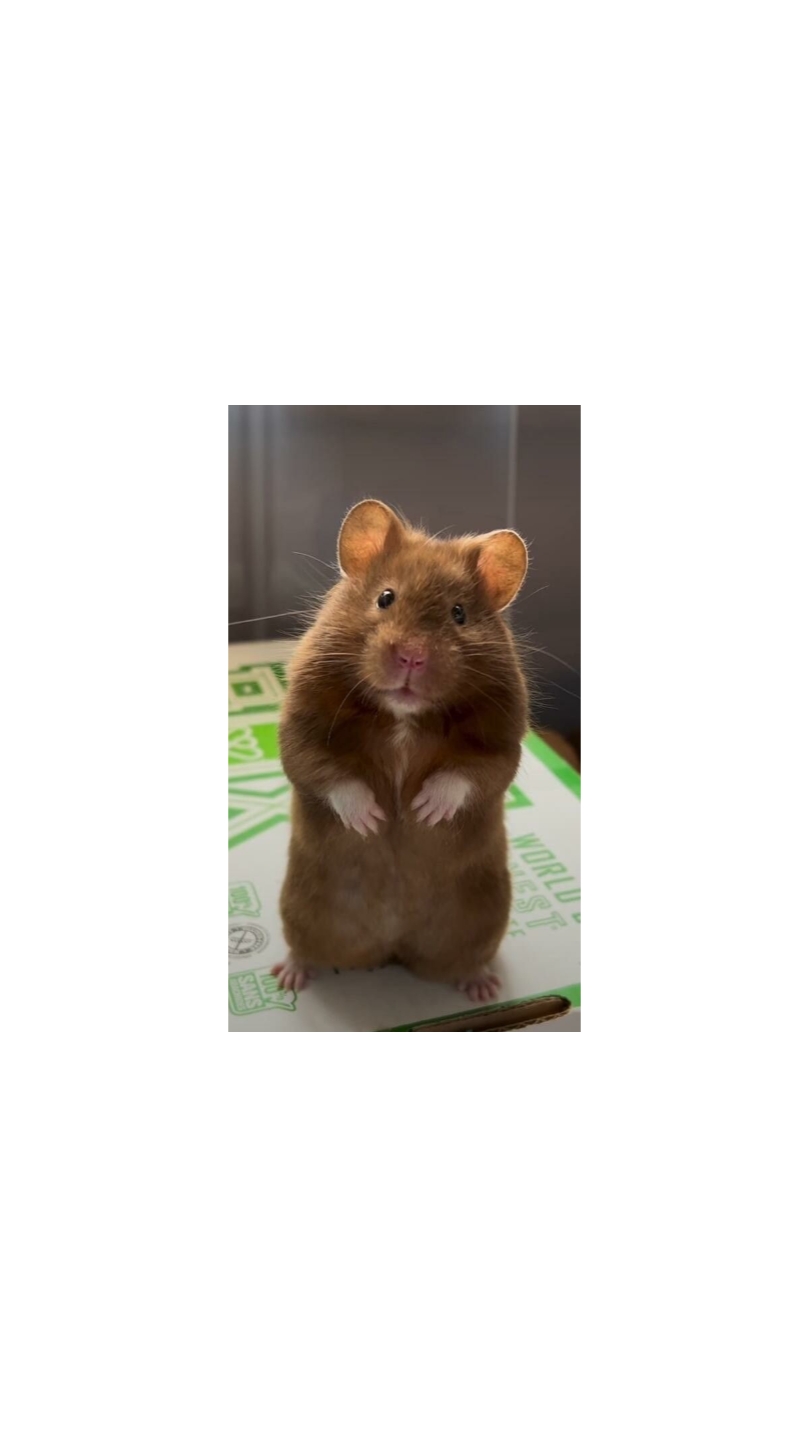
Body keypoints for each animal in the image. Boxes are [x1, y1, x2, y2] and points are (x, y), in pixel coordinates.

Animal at [271, 499, 530, 1003]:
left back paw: (483, 988)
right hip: (300, 910)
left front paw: (421, 812)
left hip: (482, 922)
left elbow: (474, 772)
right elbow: (323, 770)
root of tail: (389, 950)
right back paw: (287, 977)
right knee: (306, 951)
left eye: (458, 614)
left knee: (464, 962)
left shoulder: (504, 740)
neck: (403, 715)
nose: (412, 656)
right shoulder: (300, 726)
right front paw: (374, 820)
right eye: (385, 598)